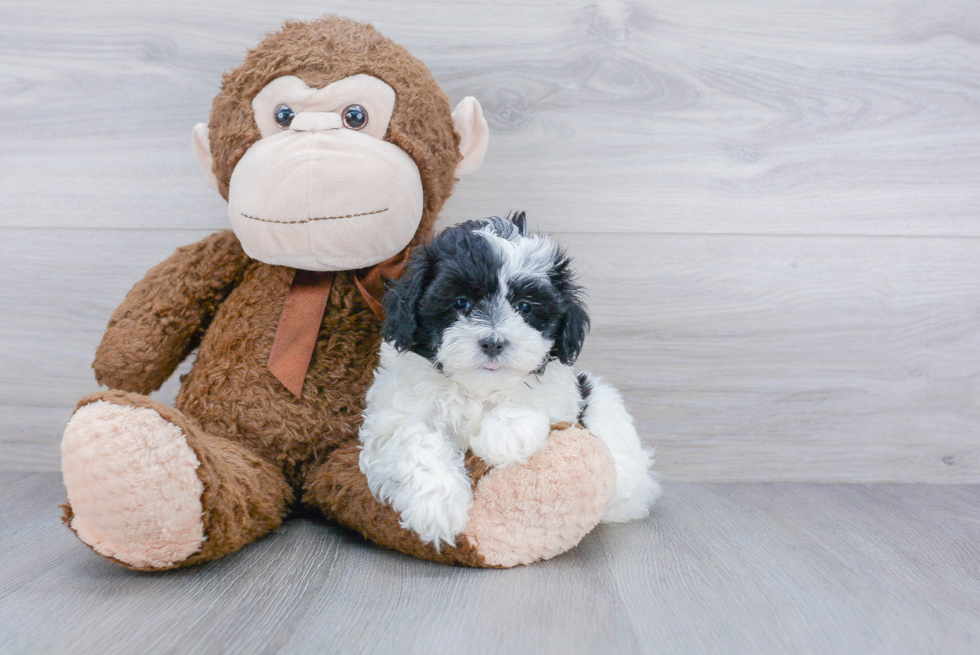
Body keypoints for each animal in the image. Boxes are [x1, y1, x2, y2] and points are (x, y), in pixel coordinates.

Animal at [356, 214, 664, 548]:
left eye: (525, 306)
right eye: (461, 303)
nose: (493, 342)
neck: (476, 388)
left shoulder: (560, 395)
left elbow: (527, 399)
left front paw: (504, 436)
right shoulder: (391, 417)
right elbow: (415, 441)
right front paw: (438, 507)